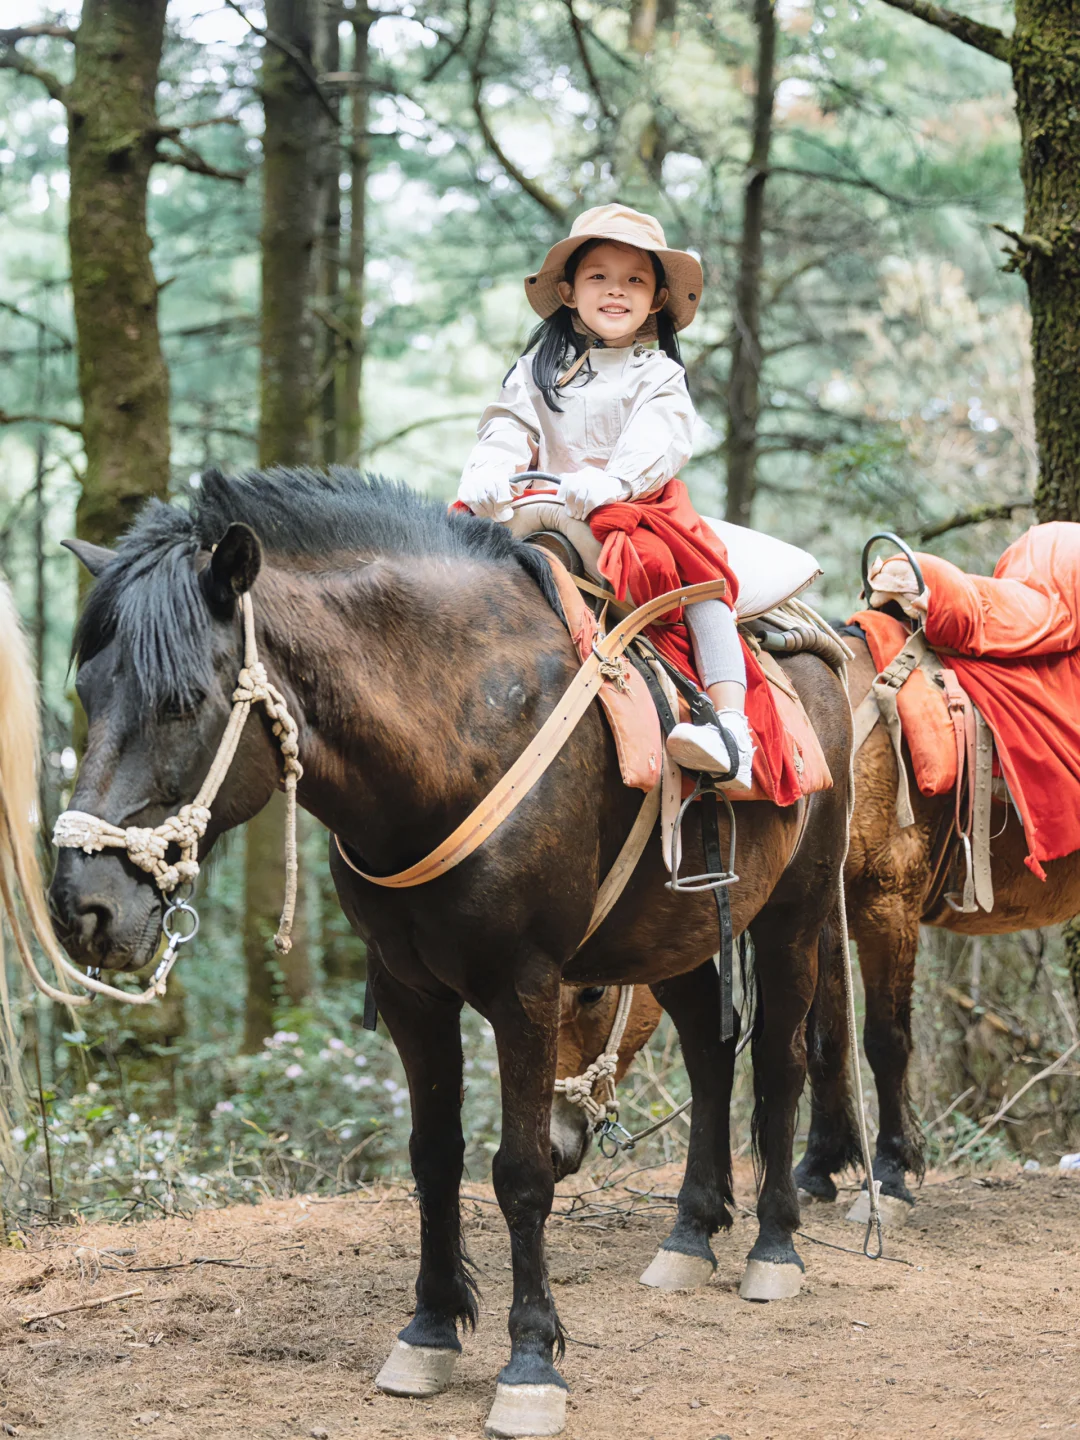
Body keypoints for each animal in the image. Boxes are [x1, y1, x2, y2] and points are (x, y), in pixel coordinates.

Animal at [50, 472, 852, 1440]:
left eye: (181, 701)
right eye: (89, 693)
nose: (82, 906)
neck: (456, 733)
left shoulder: (527, 986)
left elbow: (521, 1173)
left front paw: (532, 1361)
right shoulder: (409, 989)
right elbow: (433, 1156)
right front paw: (430, 1331)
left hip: (795, 911)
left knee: (778, 1059)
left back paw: (774, 1246)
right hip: (674, 926)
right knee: (709, 1046)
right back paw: (691, 1233)